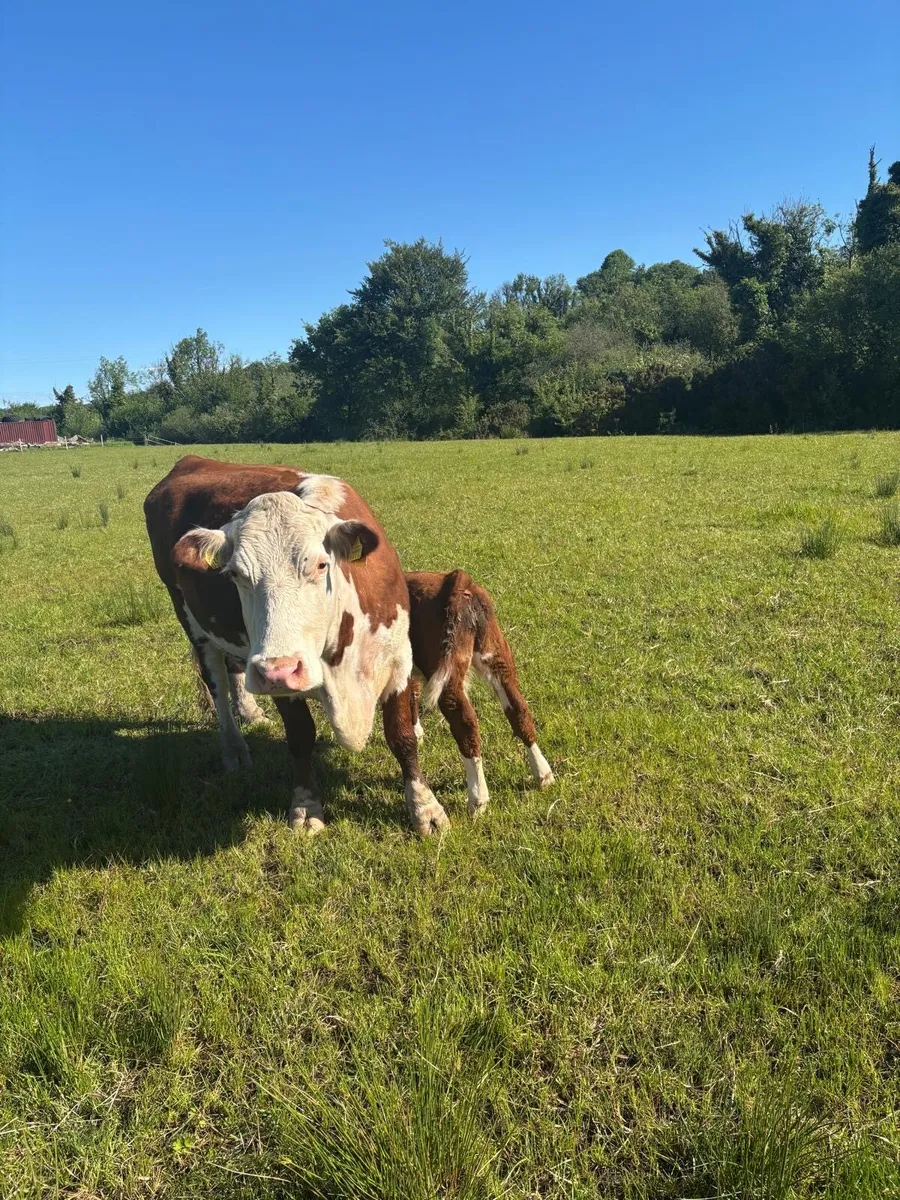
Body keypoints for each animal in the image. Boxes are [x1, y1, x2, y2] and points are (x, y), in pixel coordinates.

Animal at [144, 455, 447, 836]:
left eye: (320, 565)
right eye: (236, 575)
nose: (277, 670)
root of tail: (192, 460)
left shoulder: (397, 661)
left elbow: (402, 736)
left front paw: (425, 808)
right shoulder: (280, 680)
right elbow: (301, 737)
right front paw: (305, 807)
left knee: (234, 668)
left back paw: (250, 711)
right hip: (192, 620)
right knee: (216, 683)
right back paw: (234, 749)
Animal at [405, 570, 554, 815]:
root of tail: (458, 580)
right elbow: (411, 693)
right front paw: (417, 732)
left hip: (447, 672)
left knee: (466, 723)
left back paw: (478, 799)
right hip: (497, 654)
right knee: (519, 708)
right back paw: (543, 774)